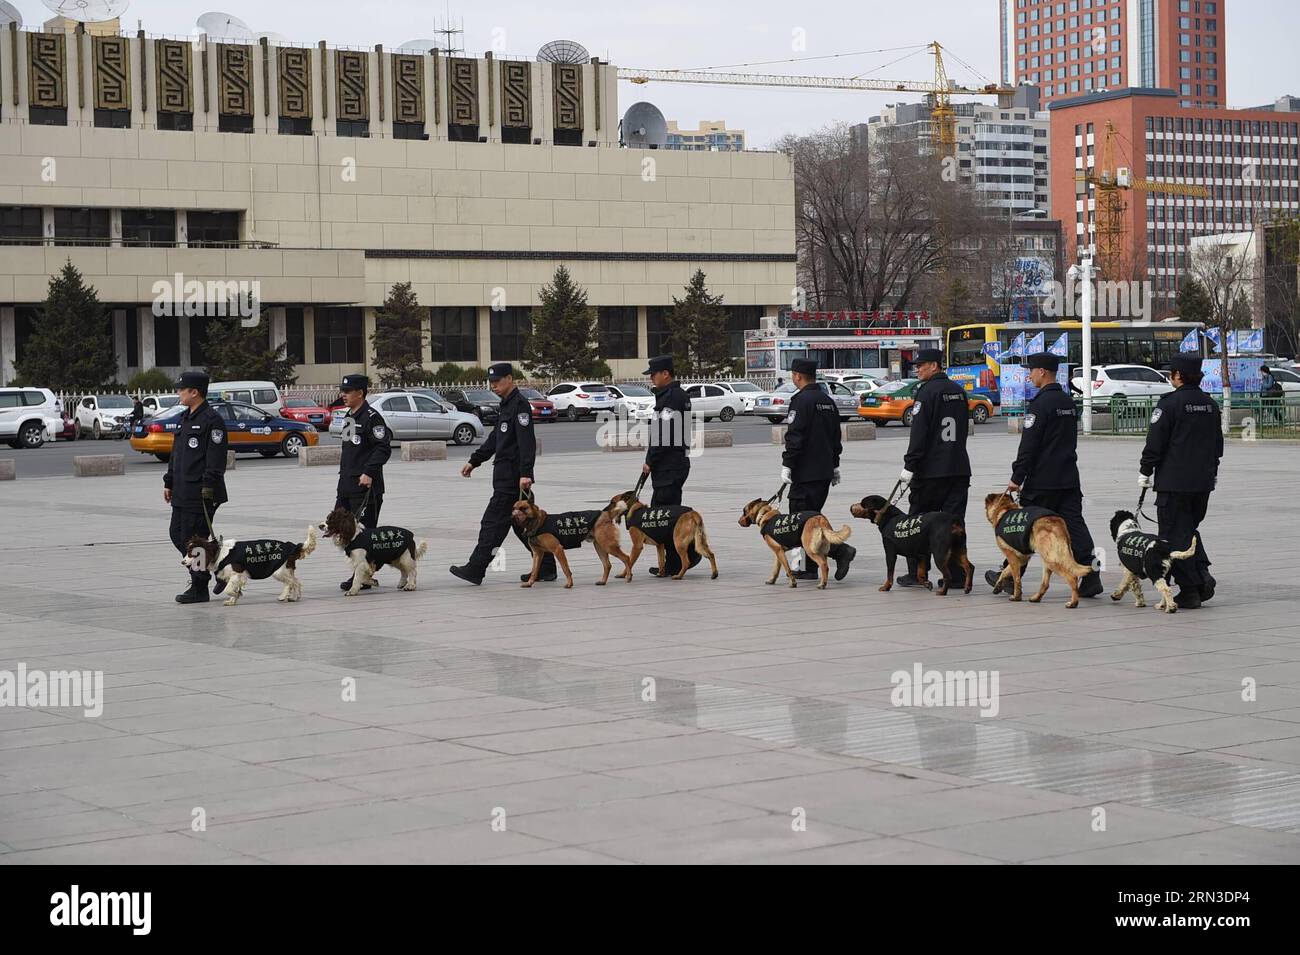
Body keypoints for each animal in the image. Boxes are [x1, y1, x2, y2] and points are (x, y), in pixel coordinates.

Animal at [182, 527, 318, 608]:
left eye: (192, 553)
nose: (182, 562)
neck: (218, 552)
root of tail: (293, 547)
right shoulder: (234, 576)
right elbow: (233, 588)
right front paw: (232, 600)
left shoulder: (237, 573)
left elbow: (228, 589)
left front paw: (235, 595)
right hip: (286, 570)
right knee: (296, 582)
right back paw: (295, 597)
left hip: (279, 571)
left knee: (290, 583)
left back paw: (283, 596)